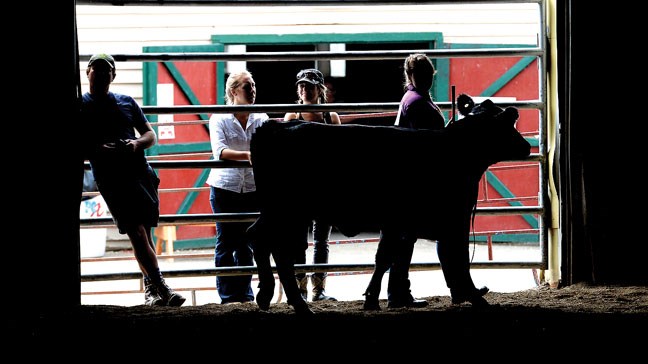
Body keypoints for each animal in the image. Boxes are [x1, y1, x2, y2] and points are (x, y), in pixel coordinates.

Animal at [248, 96, 532, 312]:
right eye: (507, 122)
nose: (527, 146)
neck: (456, 152)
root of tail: (275, 127)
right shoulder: (453, 220)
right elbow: (458, 260)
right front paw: (476, 297)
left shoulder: (398, 224)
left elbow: (385, 258)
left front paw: (372, 298)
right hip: (287, 212)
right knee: (272, 245)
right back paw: (294, 303)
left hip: (280, 212)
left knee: (262, 240)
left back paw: (270, 296)